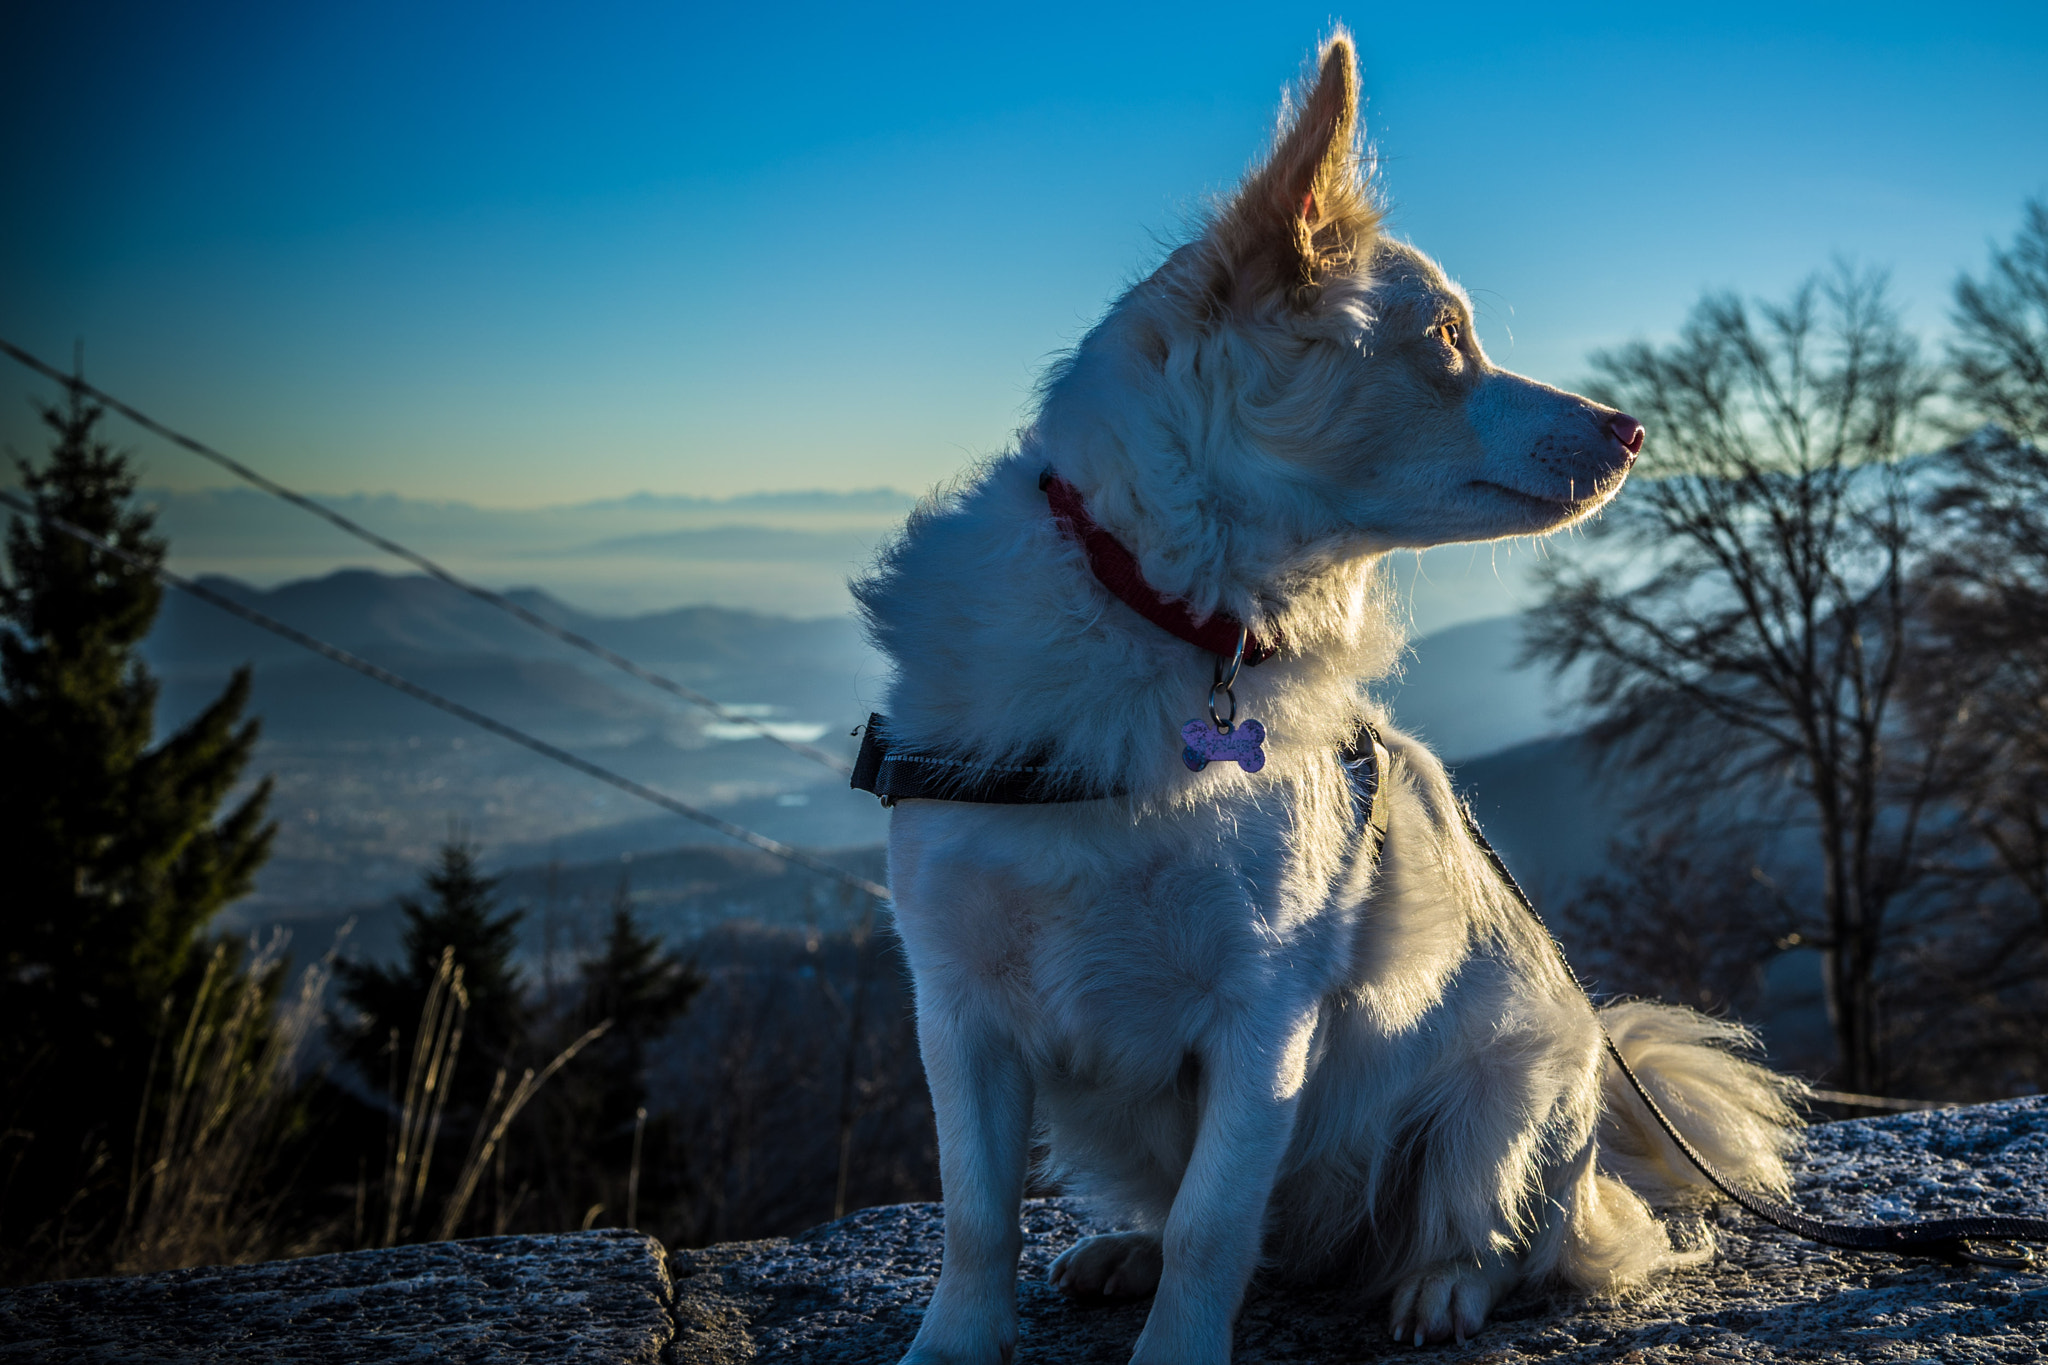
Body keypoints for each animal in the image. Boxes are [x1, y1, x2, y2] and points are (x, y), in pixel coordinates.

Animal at [856, 31, 1802, 1365]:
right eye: (1447, 338)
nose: (1630, 427)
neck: (1168, 618)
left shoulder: (1264, 1015)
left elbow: (1212, 1223)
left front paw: (1178, 1347)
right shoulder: (958, 1007)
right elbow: (976, 1213)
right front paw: (957, 1341)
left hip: (1510, 1088)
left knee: (1505, 1235)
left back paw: (1440, 1287)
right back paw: (1126, 1251)